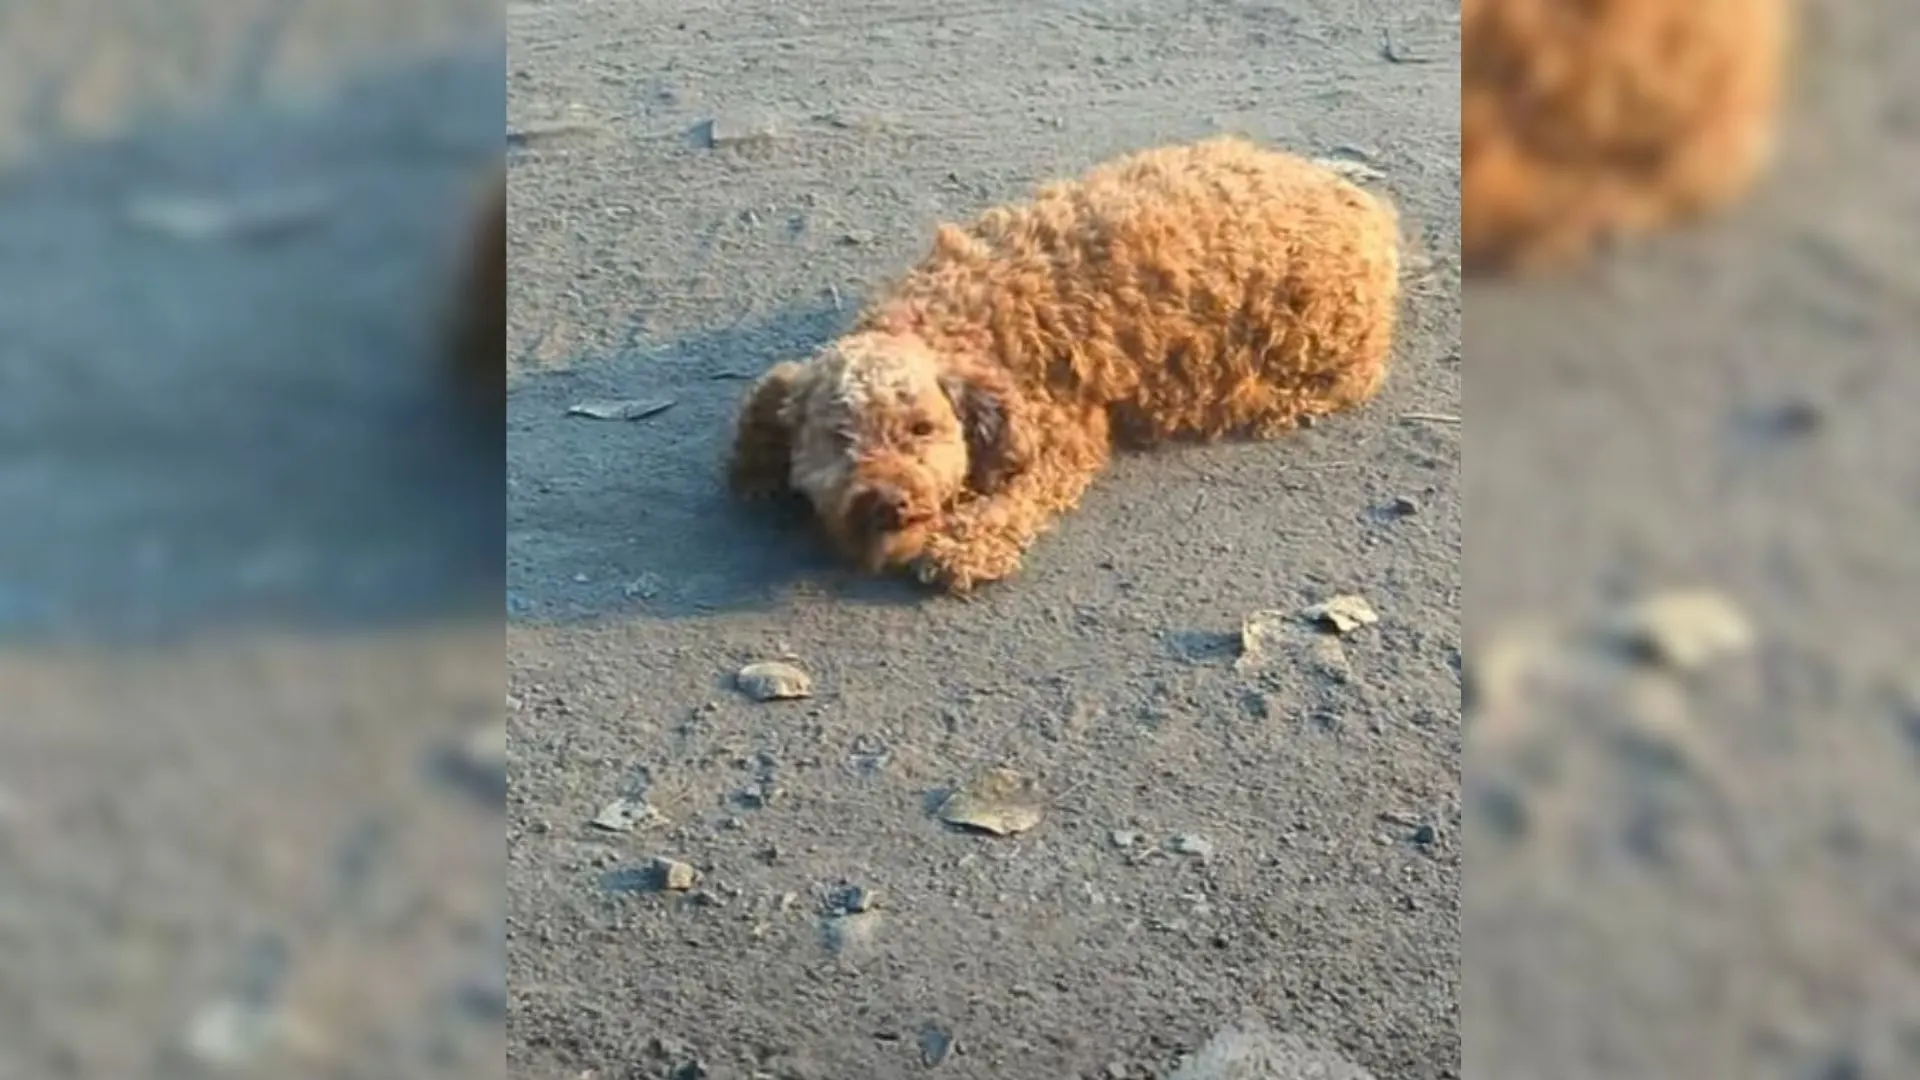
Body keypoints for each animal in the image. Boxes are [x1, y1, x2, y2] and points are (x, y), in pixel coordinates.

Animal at [725, 135, 1405, 591]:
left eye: (921, 429)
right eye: (840, 437)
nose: (888, 501)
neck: (951, 321)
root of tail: (1365, 204)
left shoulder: (1062, 433)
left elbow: (1021, 495)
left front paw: (966, 545)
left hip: (1321, 339)